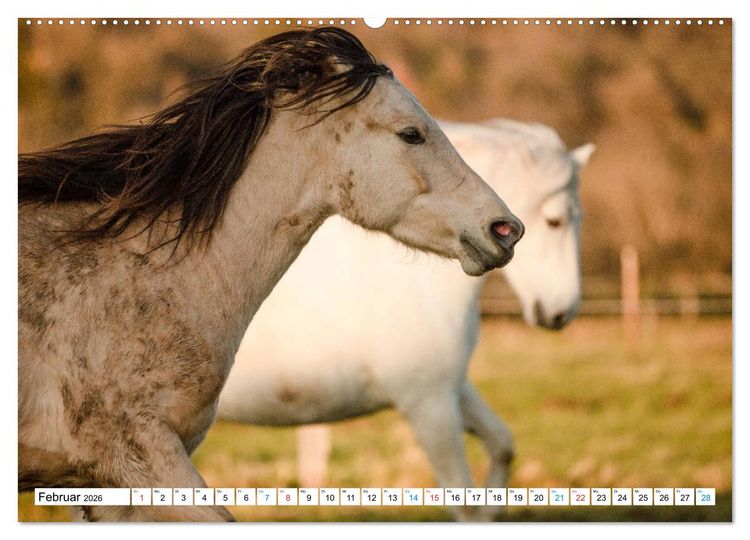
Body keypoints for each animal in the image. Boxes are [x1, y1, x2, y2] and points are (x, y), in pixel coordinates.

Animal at [217, 118, 594, 521]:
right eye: (555, 221)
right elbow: (465, 503)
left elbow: (502, 446)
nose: (561, 311)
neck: (415, 285)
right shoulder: (429, 404)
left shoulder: (452, 389)